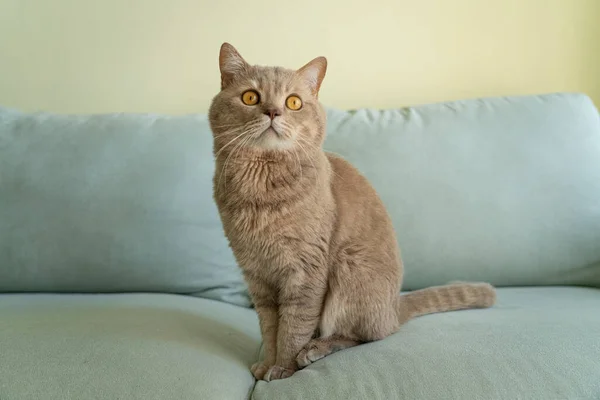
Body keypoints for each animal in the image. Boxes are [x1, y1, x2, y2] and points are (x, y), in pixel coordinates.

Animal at [209, 43, 494, 382]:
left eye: (293, 102)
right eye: (251, 97)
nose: (273, 112)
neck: (262, 189)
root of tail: (394, 309)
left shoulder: (305, 272)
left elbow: (293, 327)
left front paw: (283, 369)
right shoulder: (257, 275)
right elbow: (269, 328)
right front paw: (267, 363)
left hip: (349, 269)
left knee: (363, 335)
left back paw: (316, 349)